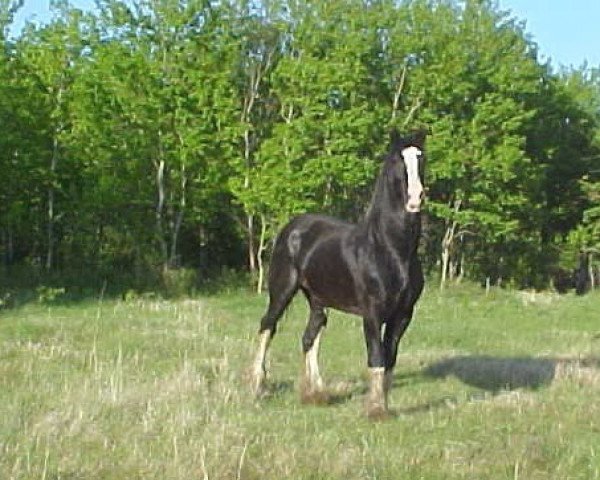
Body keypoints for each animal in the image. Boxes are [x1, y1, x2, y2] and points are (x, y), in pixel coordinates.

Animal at [248, 129, 426, 418]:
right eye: (397, 160)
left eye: (421, 158)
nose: (415, 198)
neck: (390, 250)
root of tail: (292, 228)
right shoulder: (372, 314)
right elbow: (376, 356)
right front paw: (375, 410)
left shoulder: (403, 314)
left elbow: (390, 358)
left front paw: (384, 407)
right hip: (282, 290)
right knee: (267, 326)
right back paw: (257, 385)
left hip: (318, 301)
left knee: (309, 337)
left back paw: (316, 394)